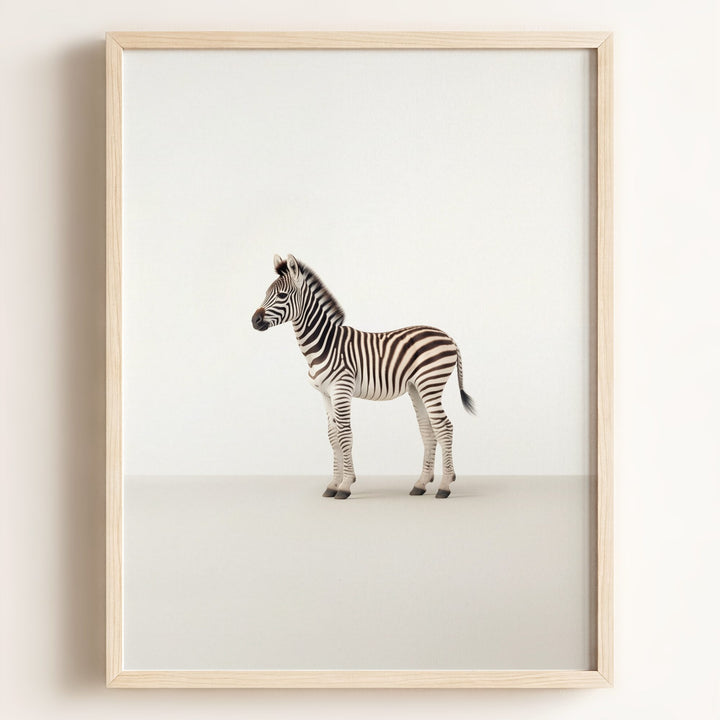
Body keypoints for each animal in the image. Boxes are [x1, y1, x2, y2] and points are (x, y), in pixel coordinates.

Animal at [251, 254, 475, 499]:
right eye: (266, 293)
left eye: (282, 295)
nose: (254, 320)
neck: (324, 344)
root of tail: (448, 337)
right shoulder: (325, 394)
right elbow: (332, 436)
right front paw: (333, 484)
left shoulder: (341, 388)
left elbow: (345, 434)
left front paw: (346, 485)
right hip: (417, 387)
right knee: (428, 429)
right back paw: (421, 483)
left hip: (430, 383)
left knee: (444, 427)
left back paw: (445, 486)